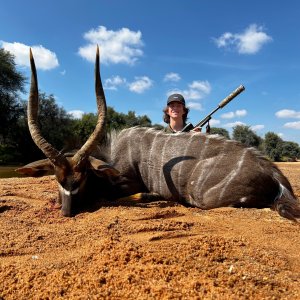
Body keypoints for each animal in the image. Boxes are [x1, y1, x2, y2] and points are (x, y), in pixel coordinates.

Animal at [17, 47, 300, 220]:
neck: (114, 154)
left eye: (83, 176)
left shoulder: (128, 182)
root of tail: (275, 173)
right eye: (57, 177)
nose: (67, 211)